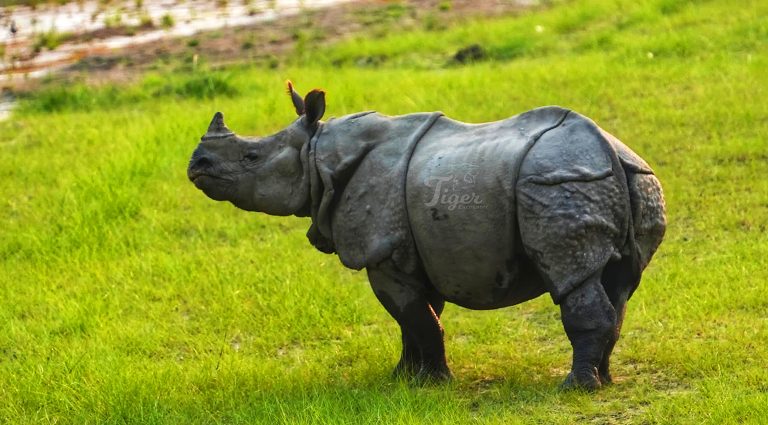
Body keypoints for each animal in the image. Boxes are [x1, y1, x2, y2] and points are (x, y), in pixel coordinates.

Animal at [187, 82, 666, 390]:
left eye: (251, 157)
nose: (196, 164)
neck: (316, 155)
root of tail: (605, 148)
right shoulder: (417, 249)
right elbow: (416, 319)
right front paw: (401, 379)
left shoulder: (382, 252)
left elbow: (415, 318)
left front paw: (432, 385)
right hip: (632, 178)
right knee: (619, 282)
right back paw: (604, 380)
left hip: (559, 181)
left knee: (572, 274)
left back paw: (575, 388)